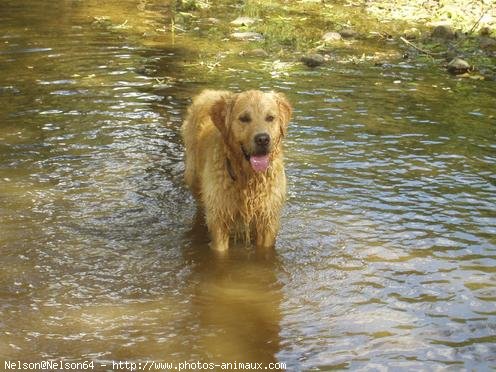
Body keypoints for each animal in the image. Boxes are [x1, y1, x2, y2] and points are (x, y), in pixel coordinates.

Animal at [181, 90, 290, 253]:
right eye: (244, 118)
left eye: (270, 118)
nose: (263, 139)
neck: (248, 177)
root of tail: (210, 92)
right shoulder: (219, 218)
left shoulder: (268, 219)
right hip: (193, 177)